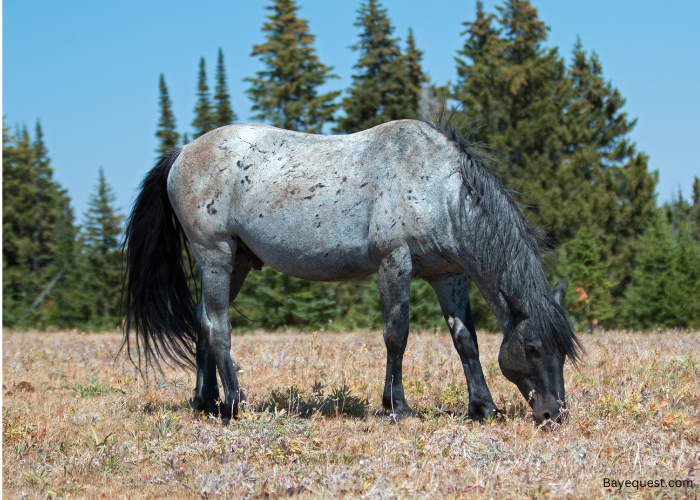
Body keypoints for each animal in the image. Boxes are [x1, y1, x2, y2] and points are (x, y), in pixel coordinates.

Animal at [123, 111, 584, 424]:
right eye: (532, 348)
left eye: (563, 351)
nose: (554, 414)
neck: (439, 186)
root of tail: (183, 152)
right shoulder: (394, 263)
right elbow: (396, 335)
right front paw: (398, 406)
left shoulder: (448, 275)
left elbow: (465, 341)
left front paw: (483, 407)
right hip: (215, 255)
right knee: (218, 326)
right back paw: (235, 403)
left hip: (237, 262)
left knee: (201, 320)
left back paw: (205, 402)